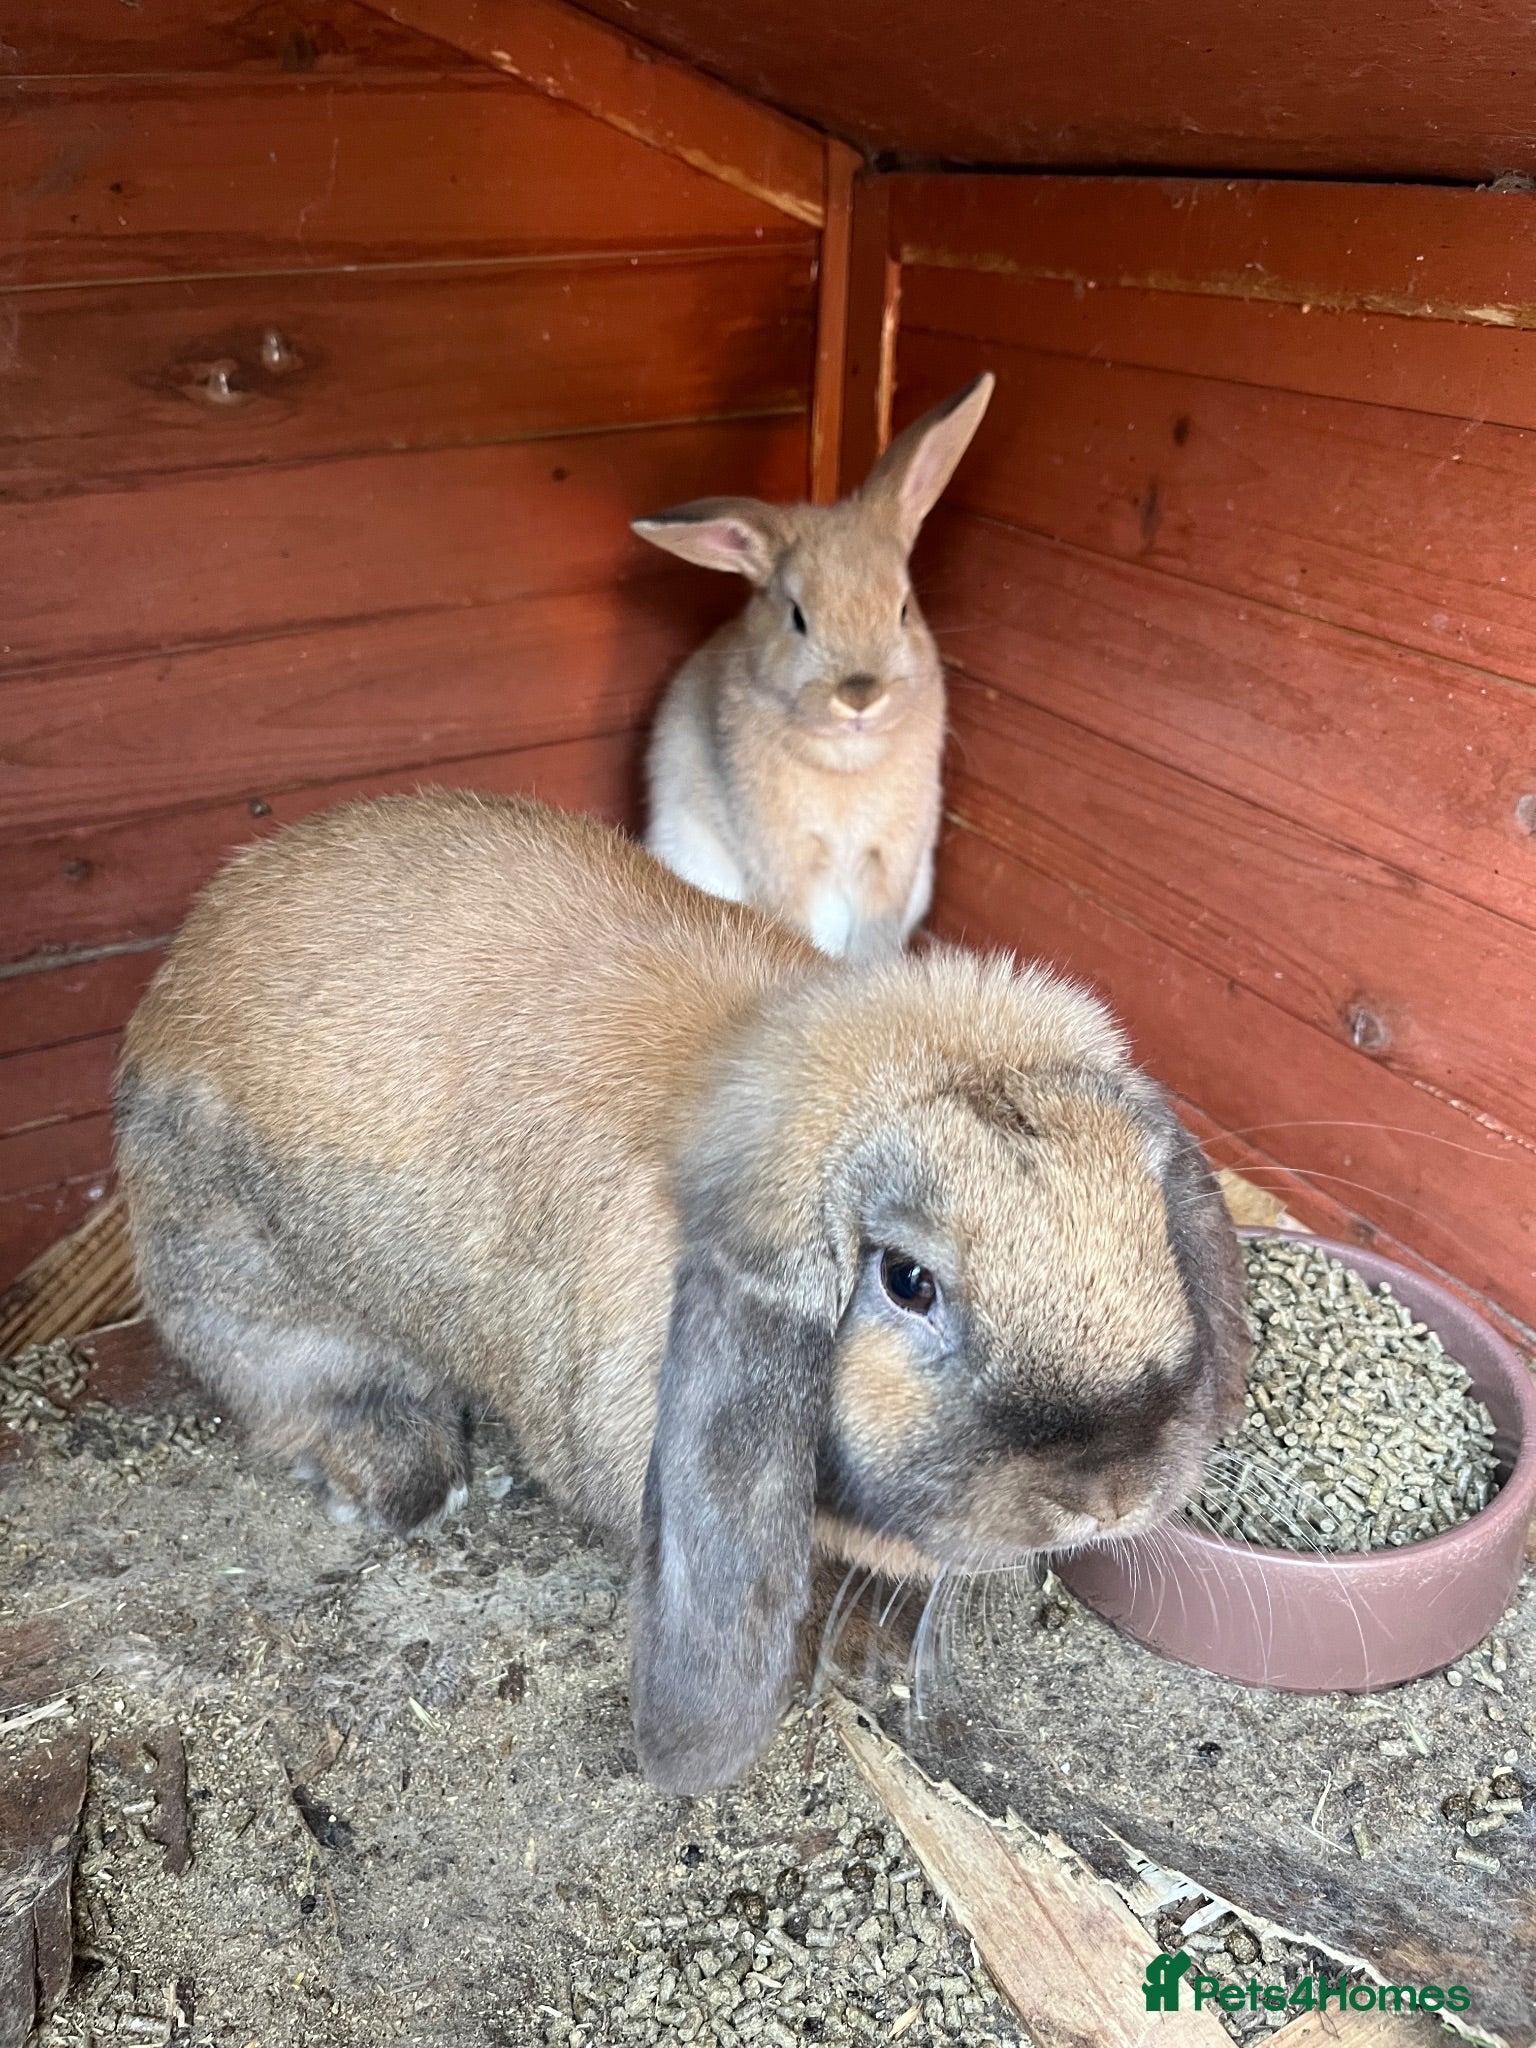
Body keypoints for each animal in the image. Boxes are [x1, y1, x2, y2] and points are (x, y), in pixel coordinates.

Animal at [115, 790, 1248, 1794]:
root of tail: (176, 974)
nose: (1112, 1492)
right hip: (256, 1295)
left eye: (1147, 1221)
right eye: (907, 1280)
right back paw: (408, 1479)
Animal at [636, 373, 995, 962]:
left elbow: (876, 928)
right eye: (798, 617)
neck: (847, 756)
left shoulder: (891, 860)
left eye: (903, 609)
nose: (859, 695)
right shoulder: (783, 856)